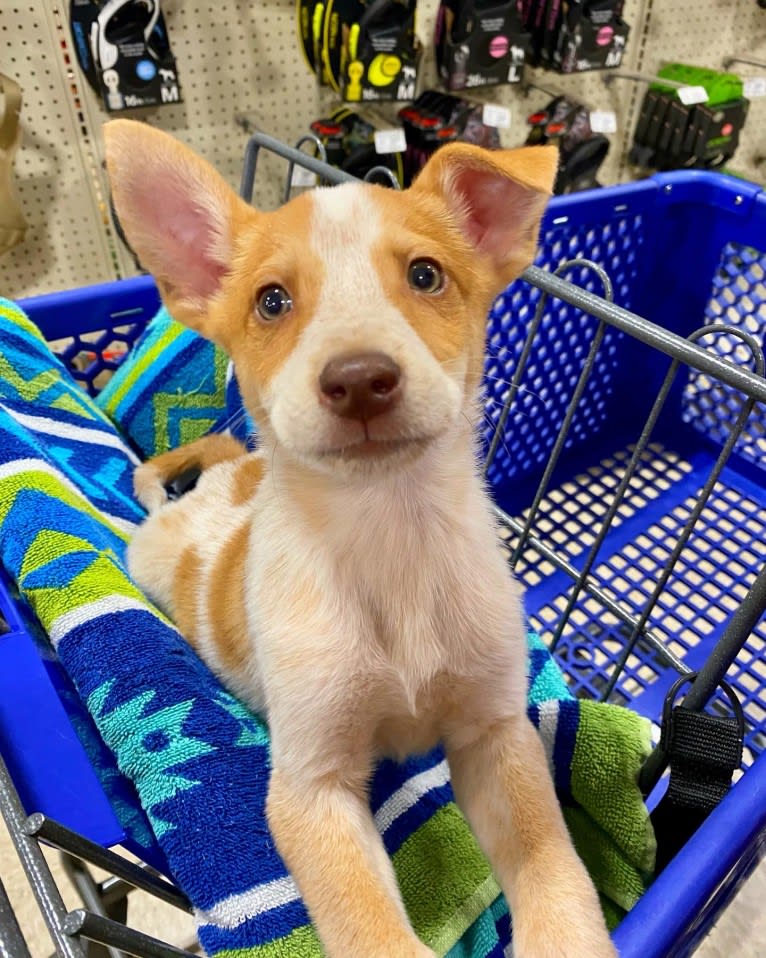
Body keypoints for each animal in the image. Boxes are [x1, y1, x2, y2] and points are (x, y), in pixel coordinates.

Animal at [105, 122, 616, 958]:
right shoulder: (312, 787)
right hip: (149, 554)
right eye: (271, 300)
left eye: (426, 274)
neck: (390, 534)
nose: (358, 380)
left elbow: (555, 870)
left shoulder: (496, 736)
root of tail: (227, 485)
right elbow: (371, 930)